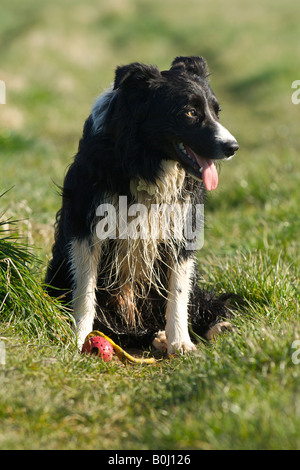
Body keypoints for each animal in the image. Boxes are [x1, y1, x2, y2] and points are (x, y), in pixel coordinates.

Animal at [45, 56, 239, 352]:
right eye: (190, 113)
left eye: (217, 112)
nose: (232, 147)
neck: (148, 159)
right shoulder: (87, 224)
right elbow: (85, 289)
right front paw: (78, 338)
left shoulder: (181, 226)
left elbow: (178, 292)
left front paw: (181, 343)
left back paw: (211, 328)